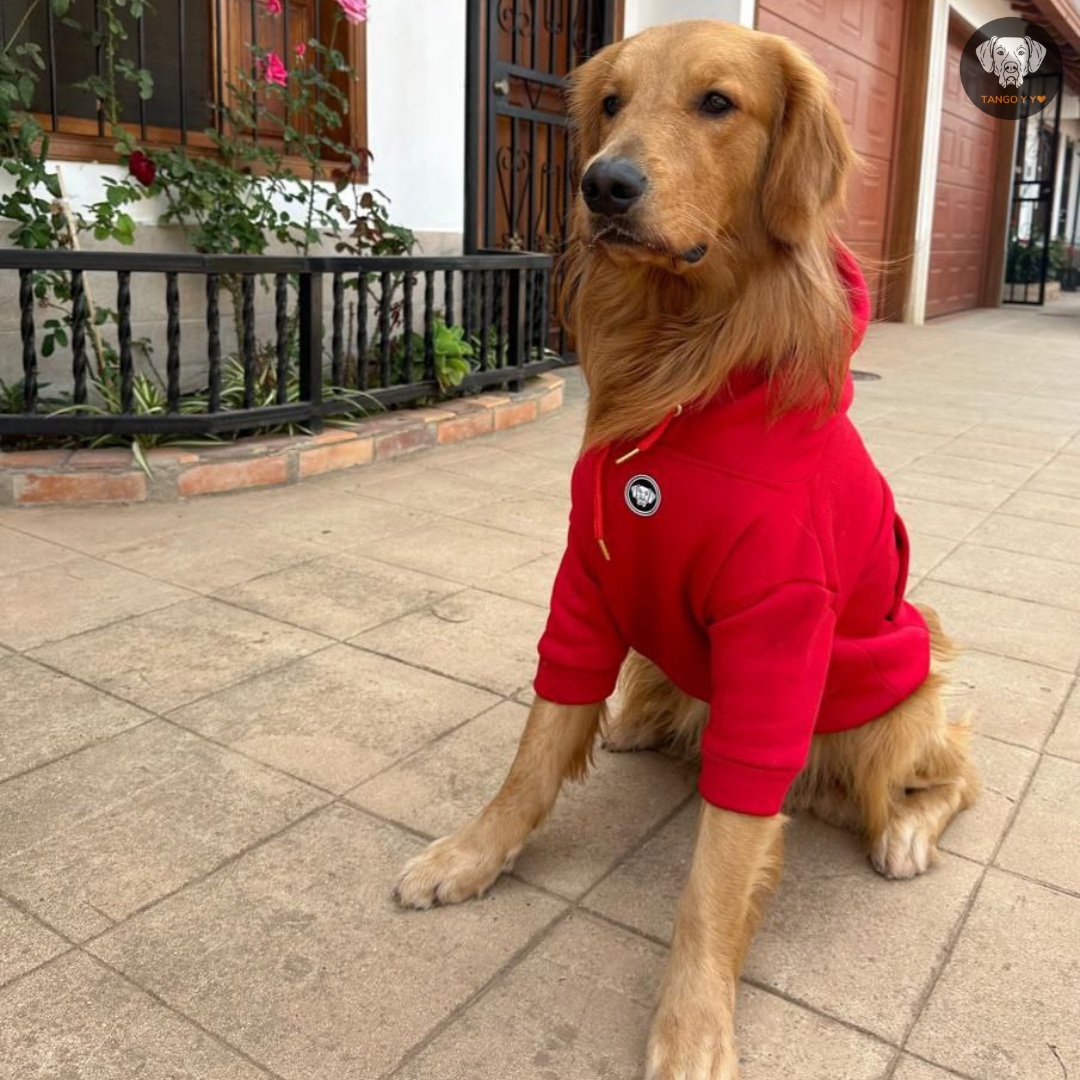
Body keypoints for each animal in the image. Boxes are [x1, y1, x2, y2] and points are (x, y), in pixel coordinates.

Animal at [397, 19, 980, 1080]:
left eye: (718, 103)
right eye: (610, 103)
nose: (603, 185)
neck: (683, 358)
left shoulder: (777, 627)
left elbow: (720, 863)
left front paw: (694, 1019)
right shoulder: (585, 581)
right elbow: (538, 747)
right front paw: (473, 854)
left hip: (896, 699)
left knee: (949, 767)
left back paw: (907, 833)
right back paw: (642, 720)